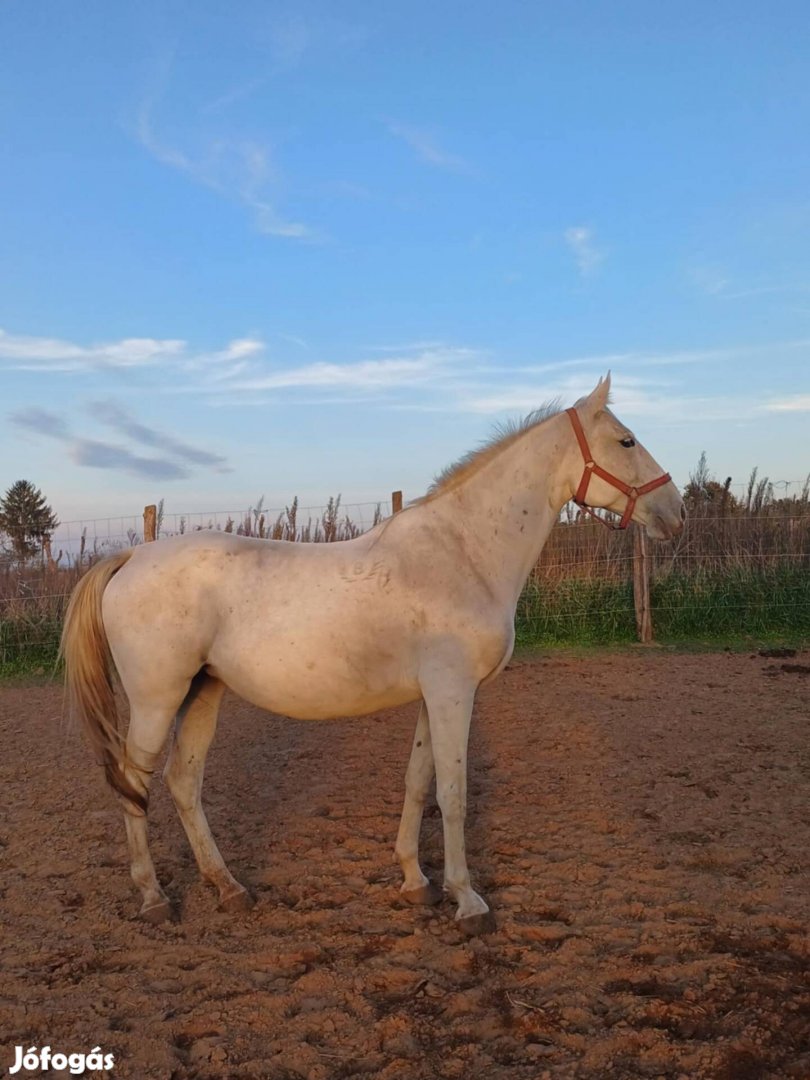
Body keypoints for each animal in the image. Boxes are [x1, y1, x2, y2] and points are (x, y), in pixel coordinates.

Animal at [61, 375, 686, 933]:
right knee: (133, 784)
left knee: (183, 782)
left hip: (203, 692)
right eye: (626, 440)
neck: (464, 552)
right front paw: (469, 902)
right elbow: (453, 793)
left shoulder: (435, 695)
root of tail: (129, 558)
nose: (676, 513)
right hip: (156, 701)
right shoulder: (453, 692)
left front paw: (416, 881)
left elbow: (418, 780)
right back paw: (154, 898)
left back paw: (228, 888)